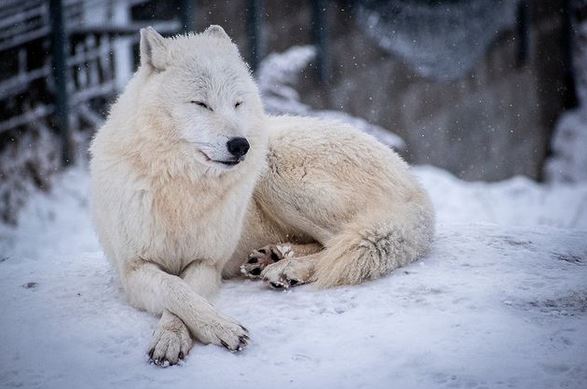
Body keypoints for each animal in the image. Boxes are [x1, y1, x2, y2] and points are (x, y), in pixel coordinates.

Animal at [88, 25, 436, 366]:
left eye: (237, 104)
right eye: (201, 104)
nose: (240, 145)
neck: (183, 187)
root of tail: (416, 187)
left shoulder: (206, 263)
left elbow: (184, 293)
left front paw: (202, 331)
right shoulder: (133, 269)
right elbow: (176, 290)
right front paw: (179, 337)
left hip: (276, 168)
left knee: (341, 242)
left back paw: (286, 268)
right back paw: (271, 256)